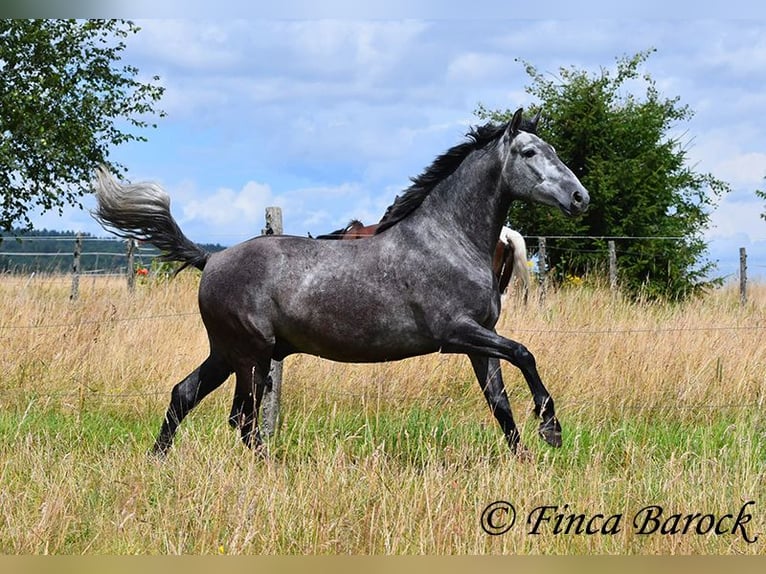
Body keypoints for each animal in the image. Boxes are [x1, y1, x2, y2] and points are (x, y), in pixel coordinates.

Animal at [93, 108, 592, 460]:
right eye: (530, 153)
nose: (579, 197)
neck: (448, 239)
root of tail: (211, 258)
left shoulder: (480, 340)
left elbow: (500, 403)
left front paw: (525, 458)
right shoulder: (456, 333)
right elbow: (525, 354)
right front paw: (551, 429)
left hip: (231, 353)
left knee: (188, 396)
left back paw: (158, 461)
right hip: (251, 354)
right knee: (243, 419)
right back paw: (272, 469)